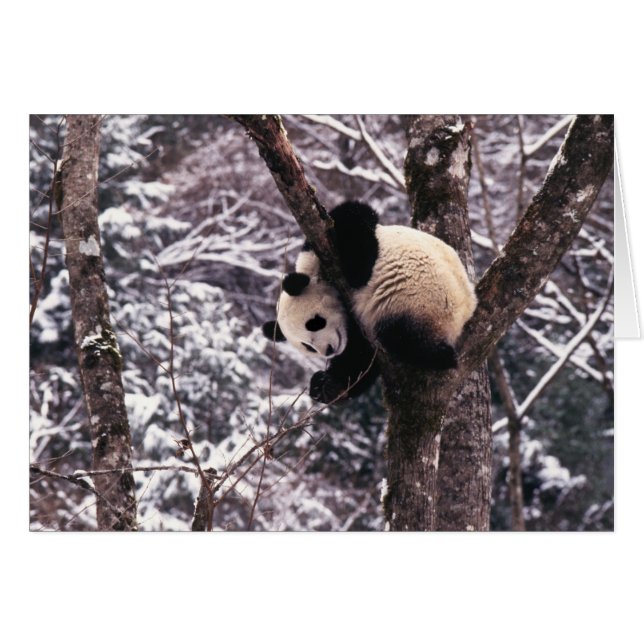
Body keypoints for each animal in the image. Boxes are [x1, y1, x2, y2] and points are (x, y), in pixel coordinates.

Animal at [262, 202, 477, 403]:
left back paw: (441, 356)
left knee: (401, 336)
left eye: (315, 323)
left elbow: (354, 223)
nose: (328, 350)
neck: (316, 275)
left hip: (420, 300)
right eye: (308, 347)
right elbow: (361, 357)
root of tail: (465, 313)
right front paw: (326, 386)